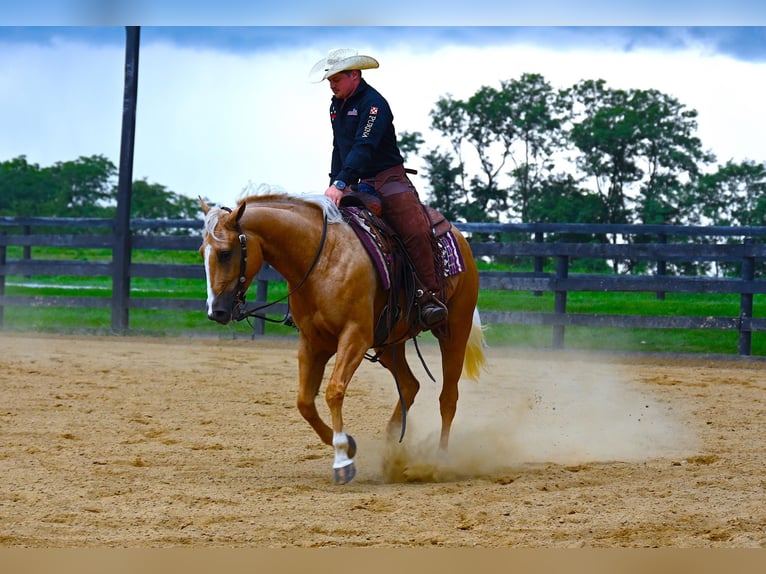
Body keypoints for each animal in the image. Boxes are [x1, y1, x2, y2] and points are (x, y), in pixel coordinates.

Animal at [198, 195, 486, 486]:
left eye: (225, 253)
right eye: (201, 253)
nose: (215, 311)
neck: (322, 260)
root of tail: (459, 237)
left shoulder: (355, 336)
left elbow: (333, 391)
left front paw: (342, 461)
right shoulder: (313, 343)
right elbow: (304, 402)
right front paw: (348, 444)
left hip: (455, 329)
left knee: (448, 397)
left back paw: (440, 462)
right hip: (389, 344)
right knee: (409, 385)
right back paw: (392, 452)